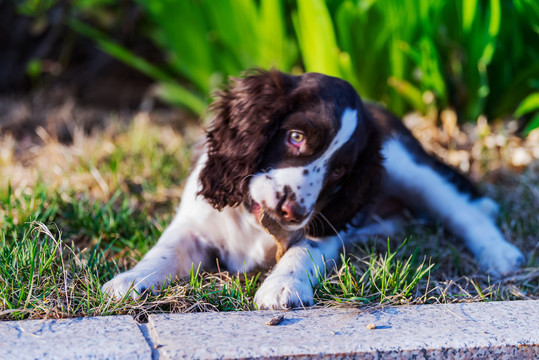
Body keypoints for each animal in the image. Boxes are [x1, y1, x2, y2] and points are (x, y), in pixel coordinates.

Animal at [103, 69, 524, 310]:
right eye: (295, 136)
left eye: (339, 170)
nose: (290, 211)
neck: (256, 219)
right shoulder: (195, 223)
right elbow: (166, 249)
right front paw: (131, 280)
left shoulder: (320, 228)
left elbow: (302, 253)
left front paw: (281, 288)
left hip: (410, 168)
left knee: (463, 210)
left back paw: (501, 254)